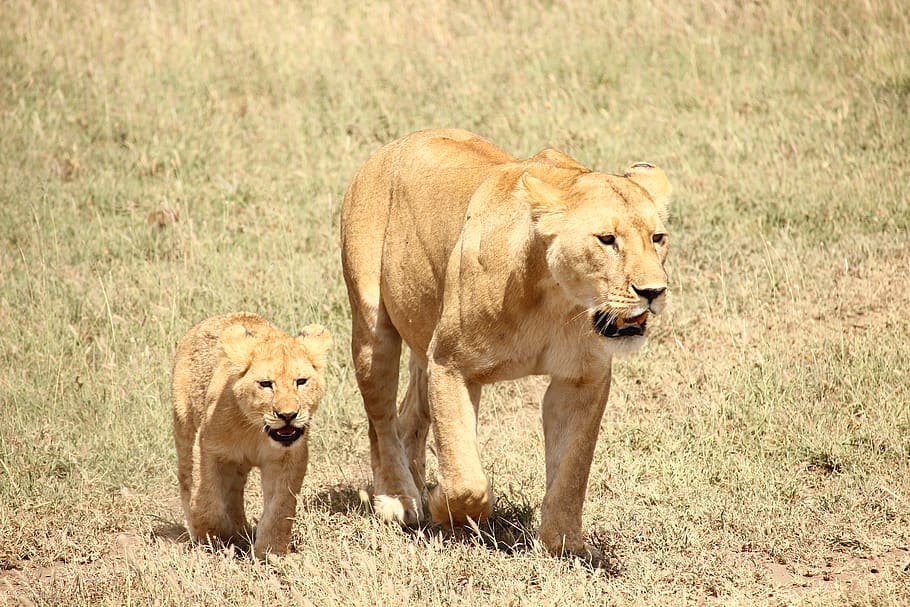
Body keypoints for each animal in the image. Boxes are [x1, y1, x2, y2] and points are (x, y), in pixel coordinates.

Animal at [171, 312, 331, 558]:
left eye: (301, 381)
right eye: (266, 384)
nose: (288, 415)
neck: (257, 431)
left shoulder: (287, 459)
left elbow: (280, 508)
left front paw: (270, 553)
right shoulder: (209, 448)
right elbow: (207, 500)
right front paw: (214, 536)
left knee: (234, 493)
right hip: (185, 427)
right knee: (188, 480)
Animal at [340, 129, 671, 565]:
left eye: (657, 238)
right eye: (606, 240)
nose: (654, 292)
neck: (554, 299)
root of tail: (392, 146)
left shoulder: (581, 381)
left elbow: (573, 469)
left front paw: (565, 545)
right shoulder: (451, 365)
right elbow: (466, 480)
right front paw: (443, 505)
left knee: (409, 415)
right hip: (373, 330)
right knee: (380, 421)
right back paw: (400, 497)